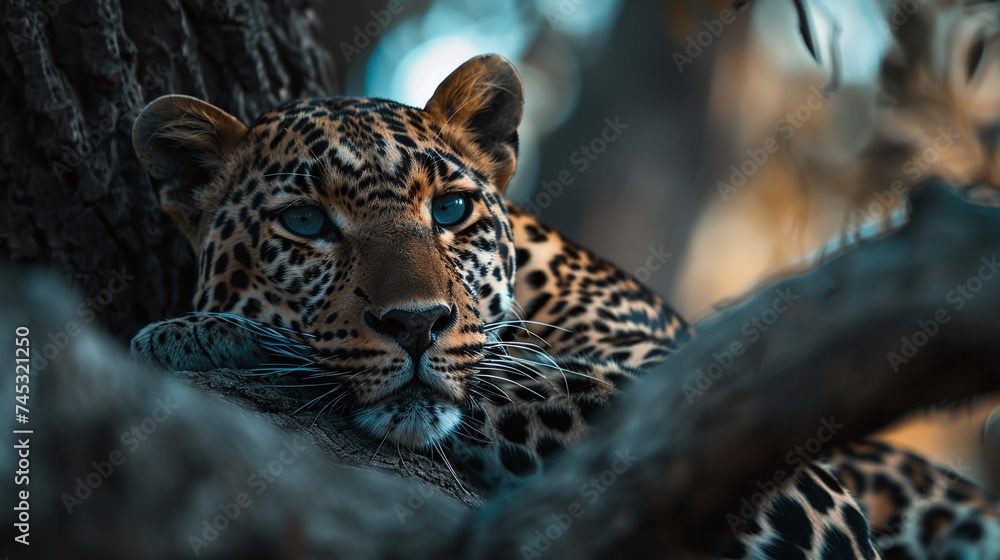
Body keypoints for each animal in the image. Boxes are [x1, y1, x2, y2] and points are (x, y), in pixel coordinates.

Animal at [129, 54, 999, 559]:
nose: (416, 324)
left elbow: (520, 379)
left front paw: (196, 335)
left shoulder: (791, 477)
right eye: (307, 224)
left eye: (450, 210)